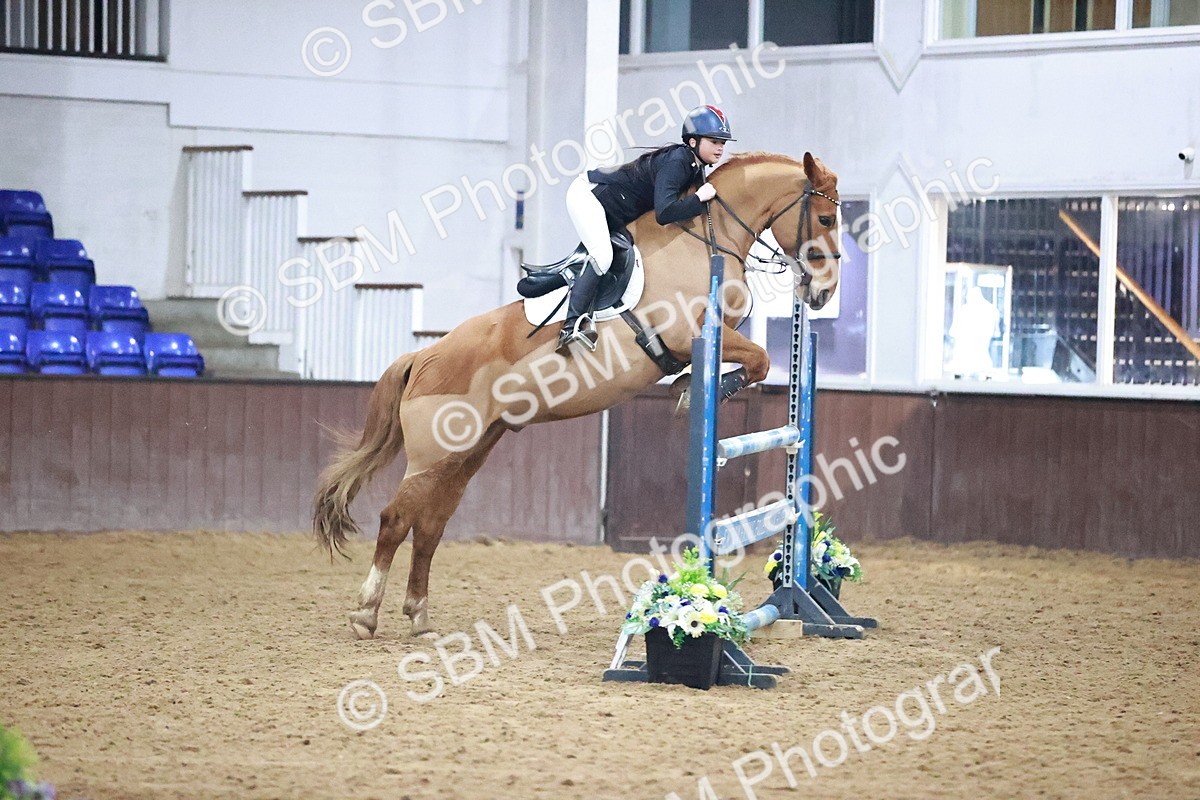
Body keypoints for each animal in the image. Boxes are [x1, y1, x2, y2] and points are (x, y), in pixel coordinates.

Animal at [313, 151, 843, 639]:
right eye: (825, 219)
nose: (823, 293)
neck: (709, 237)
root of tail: (424, 356)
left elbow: (758, 361)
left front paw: (691, 386)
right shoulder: (691, 332)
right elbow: (759, 360)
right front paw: (693, 392)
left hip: (467, 453)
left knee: (429, 528)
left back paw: (419, 617)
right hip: (431, 456)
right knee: (395, 520)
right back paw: (366, 614)